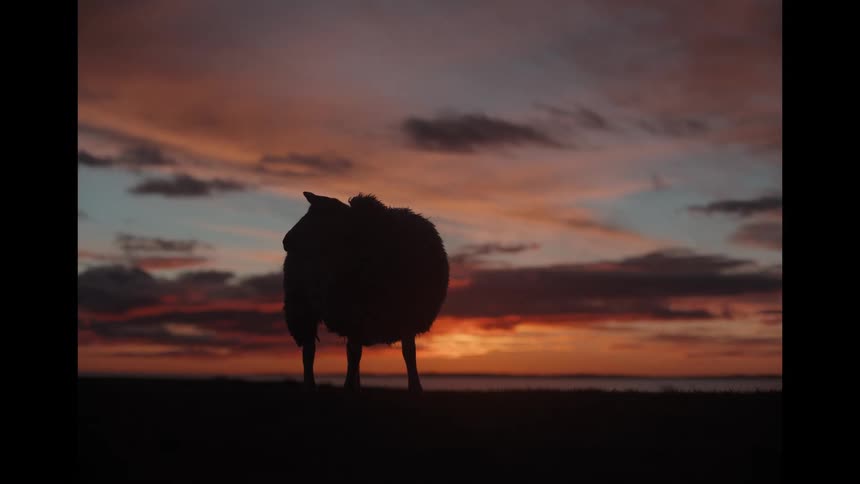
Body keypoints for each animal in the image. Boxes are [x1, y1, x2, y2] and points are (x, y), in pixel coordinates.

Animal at [282, 191, 449, 392]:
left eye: (320, 214)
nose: (285, 242)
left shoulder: (407, 315)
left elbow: (409, 353)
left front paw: (415, 388)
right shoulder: (354, 312)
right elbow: (354, 354)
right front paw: (347, 387)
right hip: (302, 307)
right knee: (310, 351)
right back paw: (311, 386)